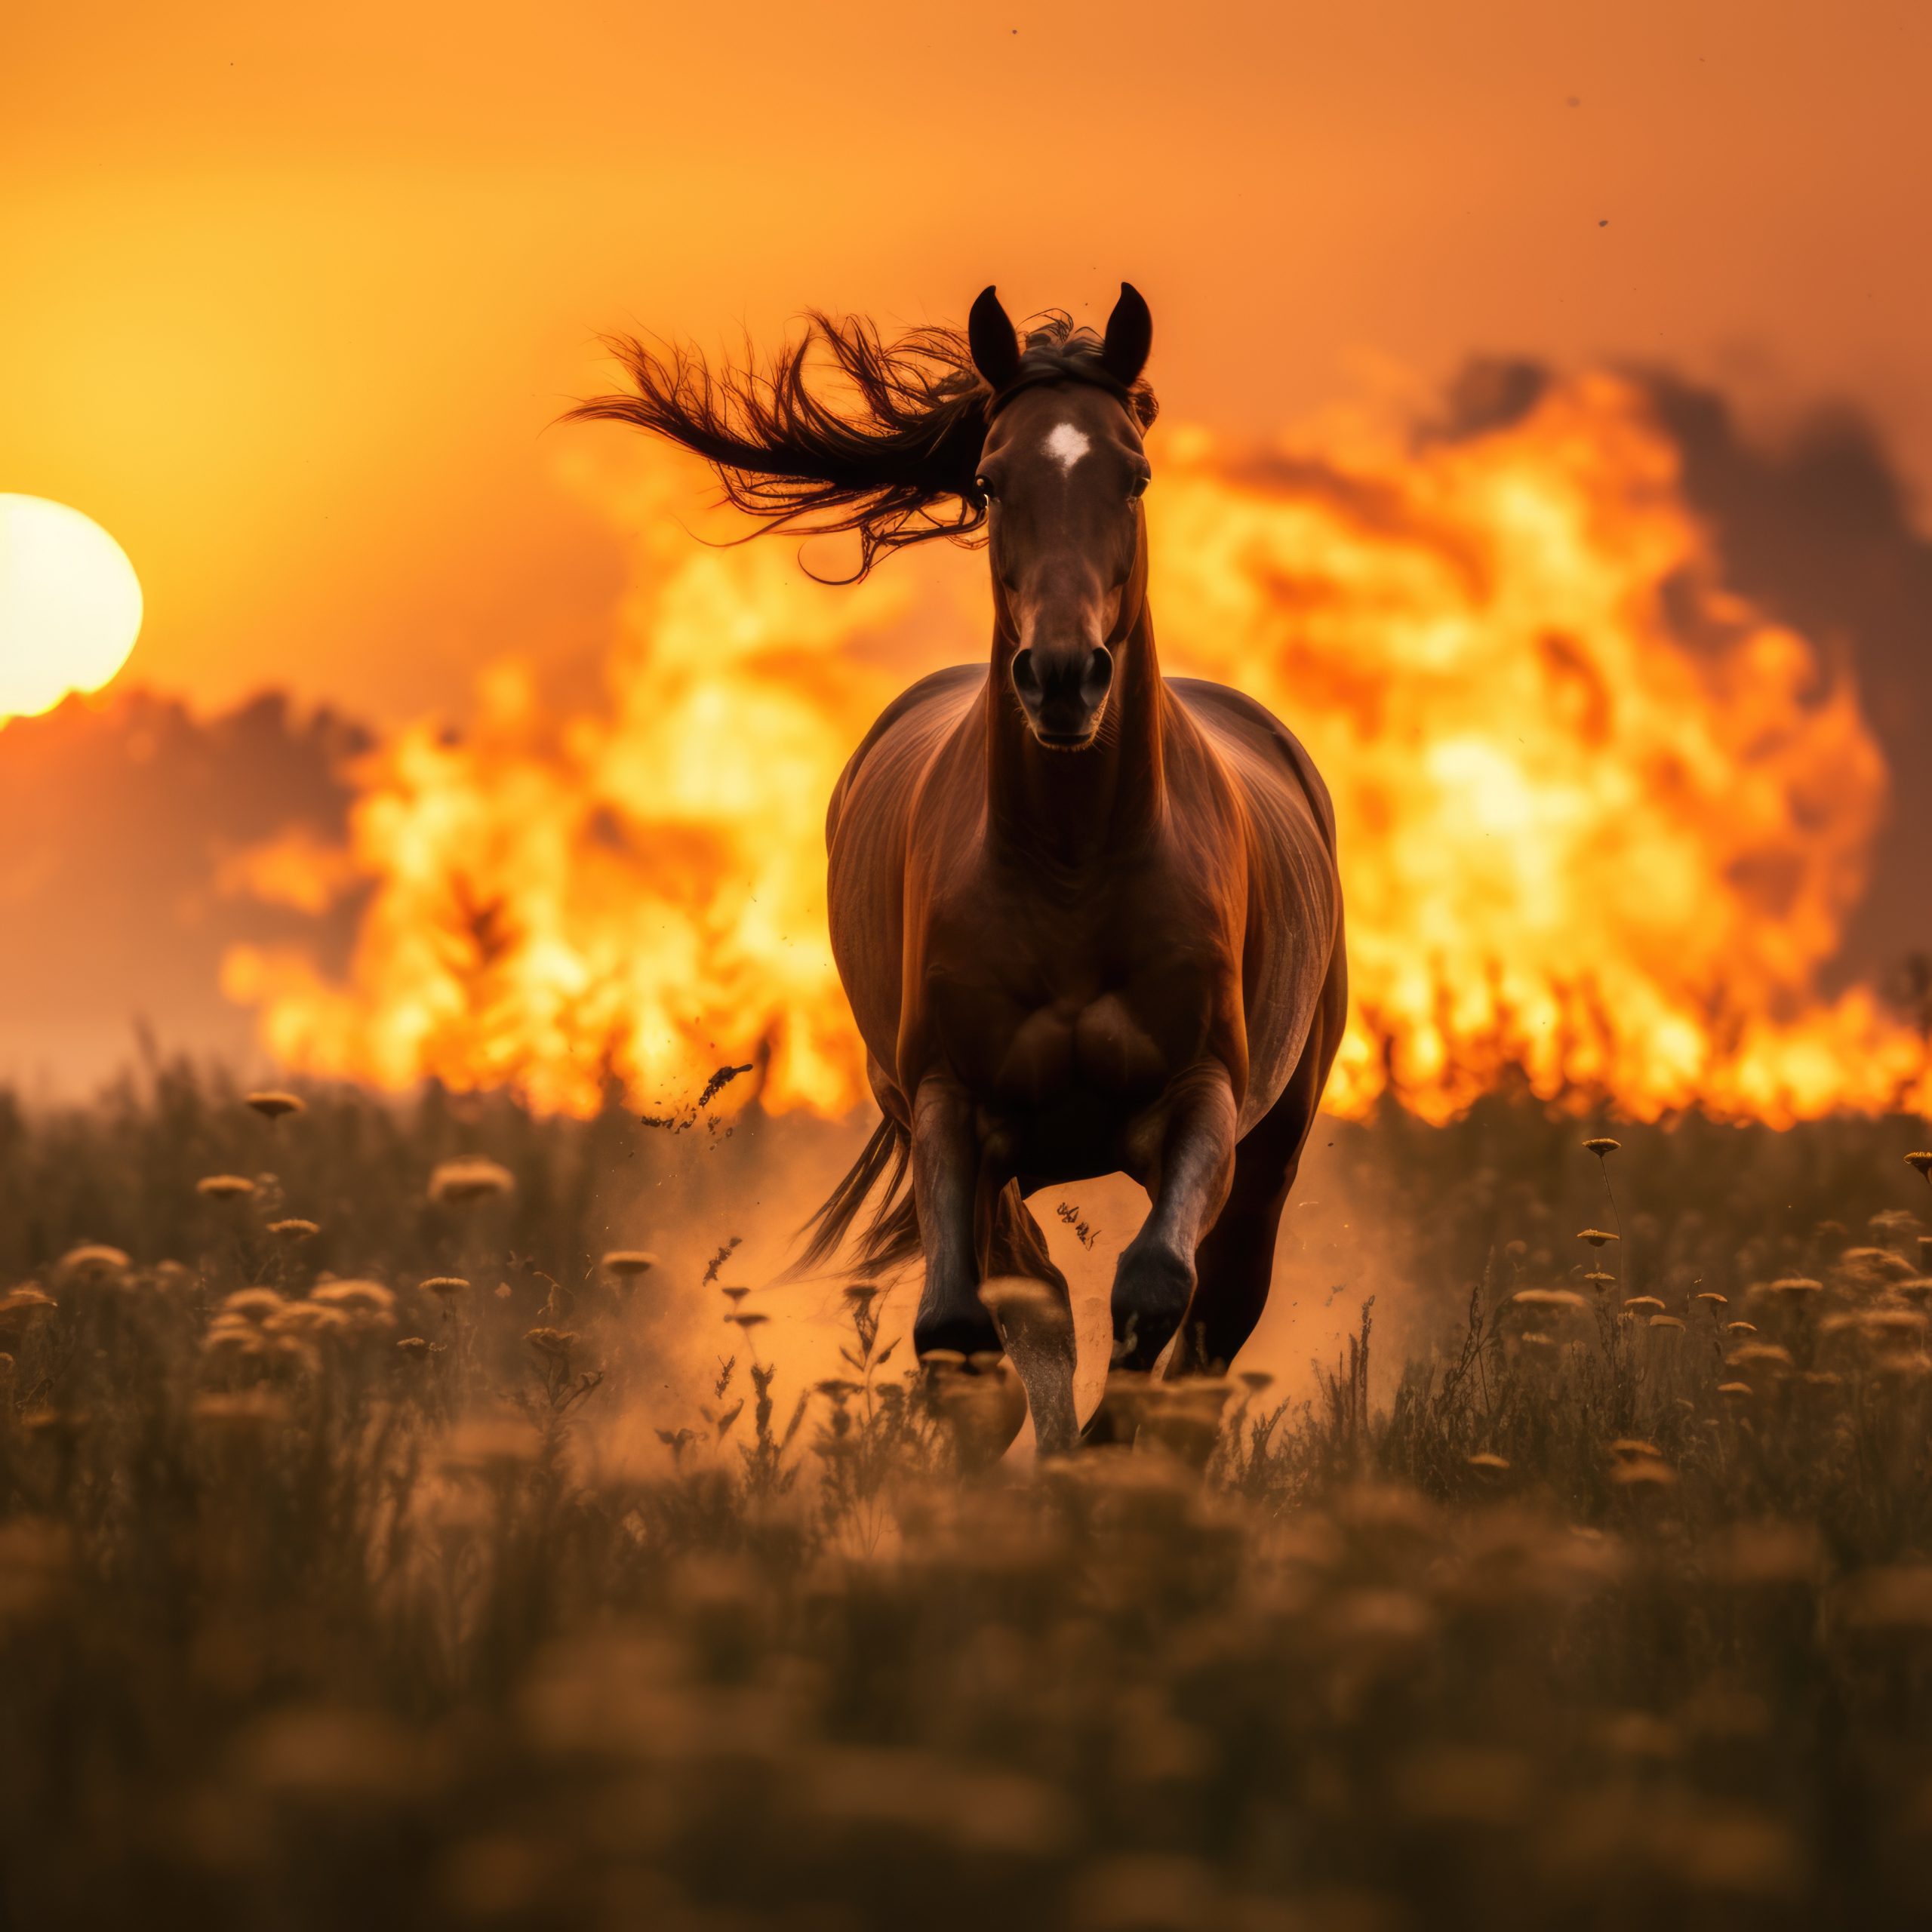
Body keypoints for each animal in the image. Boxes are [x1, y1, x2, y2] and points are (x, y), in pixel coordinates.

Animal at [575, 285, 1344, 1453]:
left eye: (1134, 474)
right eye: (991, 479)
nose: (1064, 678)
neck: (1073, 867)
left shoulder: (1205, 1097)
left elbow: (1152, 1291)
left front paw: (1107, 1456)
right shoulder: (951, 1106)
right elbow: (964, 1333)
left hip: (1273, 1146)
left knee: (1212, 1324)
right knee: (1035, 1310)